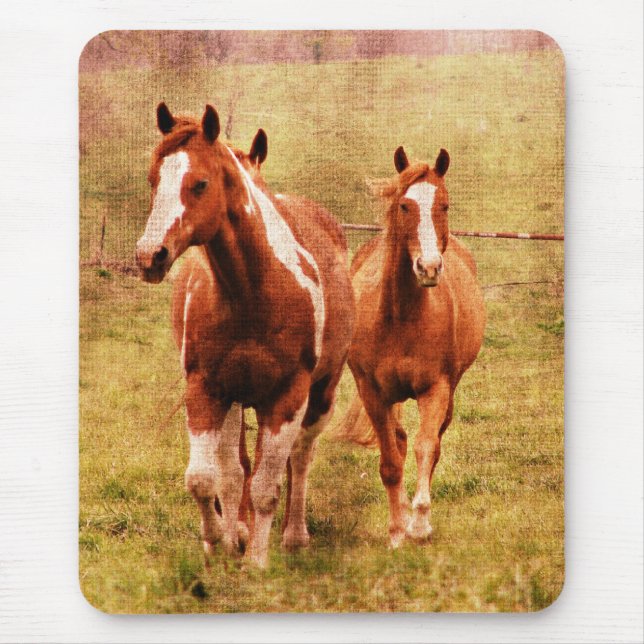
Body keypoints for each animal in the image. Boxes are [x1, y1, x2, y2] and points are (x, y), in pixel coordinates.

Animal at [135, 103, 354, 568]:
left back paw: (293, 536)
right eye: (153, 179)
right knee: (237, 468)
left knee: (300, 458)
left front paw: (256, 562)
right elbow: (209, 477)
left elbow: (267, 487)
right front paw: (219, 538)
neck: (254, 292)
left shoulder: (289, 396)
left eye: (199, 183)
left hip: (321, 394)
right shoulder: (207, 389)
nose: (149, 256)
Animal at [338, 146, 485, 548]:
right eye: (404, 206)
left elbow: (426, 447)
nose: (429, 267)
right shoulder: (373, 392)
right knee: (399, 442)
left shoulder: (435, 389)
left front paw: (419, 525)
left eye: (445, 205)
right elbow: (391, 461)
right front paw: (396, 531)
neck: (401, 317)